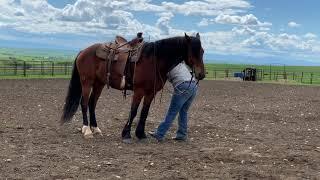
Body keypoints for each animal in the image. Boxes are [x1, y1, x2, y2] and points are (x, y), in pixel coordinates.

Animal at [60, 32, 205, 142]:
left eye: (202, 51)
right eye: (193, 51)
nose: (201, 74)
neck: (154, 60)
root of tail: (83, 52)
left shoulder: (150, 93)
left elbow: (144, 112)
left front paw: (141, 134)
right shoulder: (139, 91)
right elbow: (134, 111)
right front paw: (126, 134)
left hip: (99, 84)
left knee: (92, 103)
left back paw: (95, 128)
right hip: (87, 82)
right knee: (84, 103)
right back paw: (87, 130)